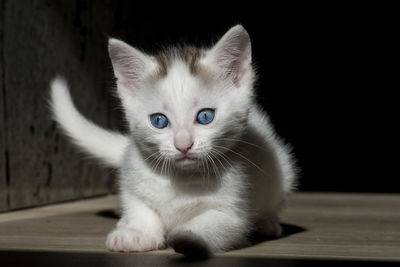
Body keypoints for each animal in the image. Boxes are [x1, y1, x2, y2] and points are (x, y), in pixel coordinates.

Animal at [50, 25, 296, 260]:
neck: (181, 178)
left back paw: (268, 223)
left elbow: (215, 223)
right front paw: (135, 233)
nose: (183, 144)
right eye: (159, 121)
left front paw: (189, 237)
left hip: (282, 172)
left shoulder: (233, 211)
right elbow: (141, 208)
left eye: (205, 116)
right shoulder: (133, 179)